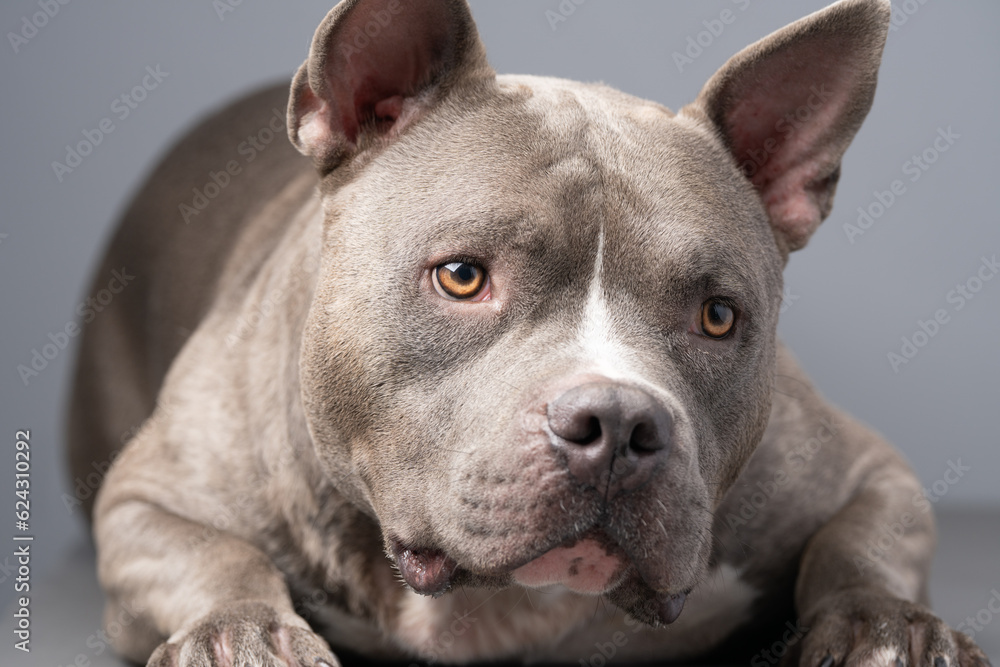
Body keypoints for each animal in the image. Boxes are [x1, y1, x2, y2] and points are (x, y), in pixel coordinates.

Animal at [68, 1, 992, 667]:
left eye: (718, 315)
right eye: (461, 276)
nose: (617, 422)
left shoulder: (867, 471)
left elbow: (858, 543)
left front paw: (889, 625)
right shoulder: (146, 496)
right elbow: (213, 556)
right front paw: (242, 630)